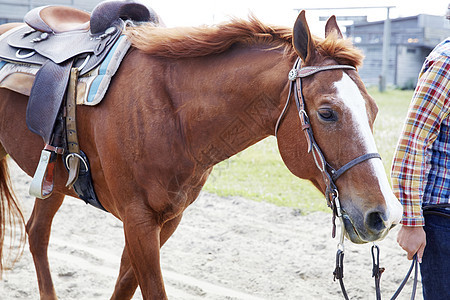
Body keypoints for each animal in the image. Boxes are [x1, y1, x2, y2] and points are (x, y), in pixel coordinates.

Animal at [0, 11, 400, 300]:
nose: (386, 215)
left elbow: (125, 285)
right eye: (327, 113)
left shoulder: (165, 220)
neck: (171, 111)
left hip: (52, 180)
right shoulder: (138, 220)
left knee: (37, 234)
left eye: (374, 110)